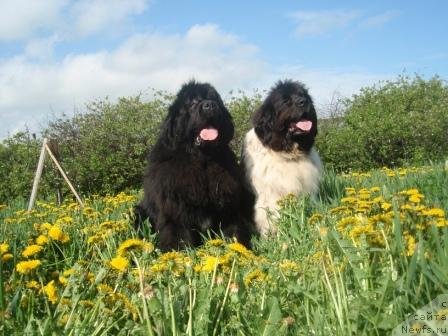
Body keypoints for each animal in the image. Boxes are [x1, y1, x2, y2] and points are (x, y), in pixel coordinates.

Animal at [135, 80, 254, 251]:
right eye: (192, 102)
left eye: (215, 100)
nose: (210, 105)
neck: (202, 160)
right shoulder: (176, 212)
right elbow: (179, 237)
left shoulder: (227, 209)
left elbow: (235, 233)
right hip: (139, 212)